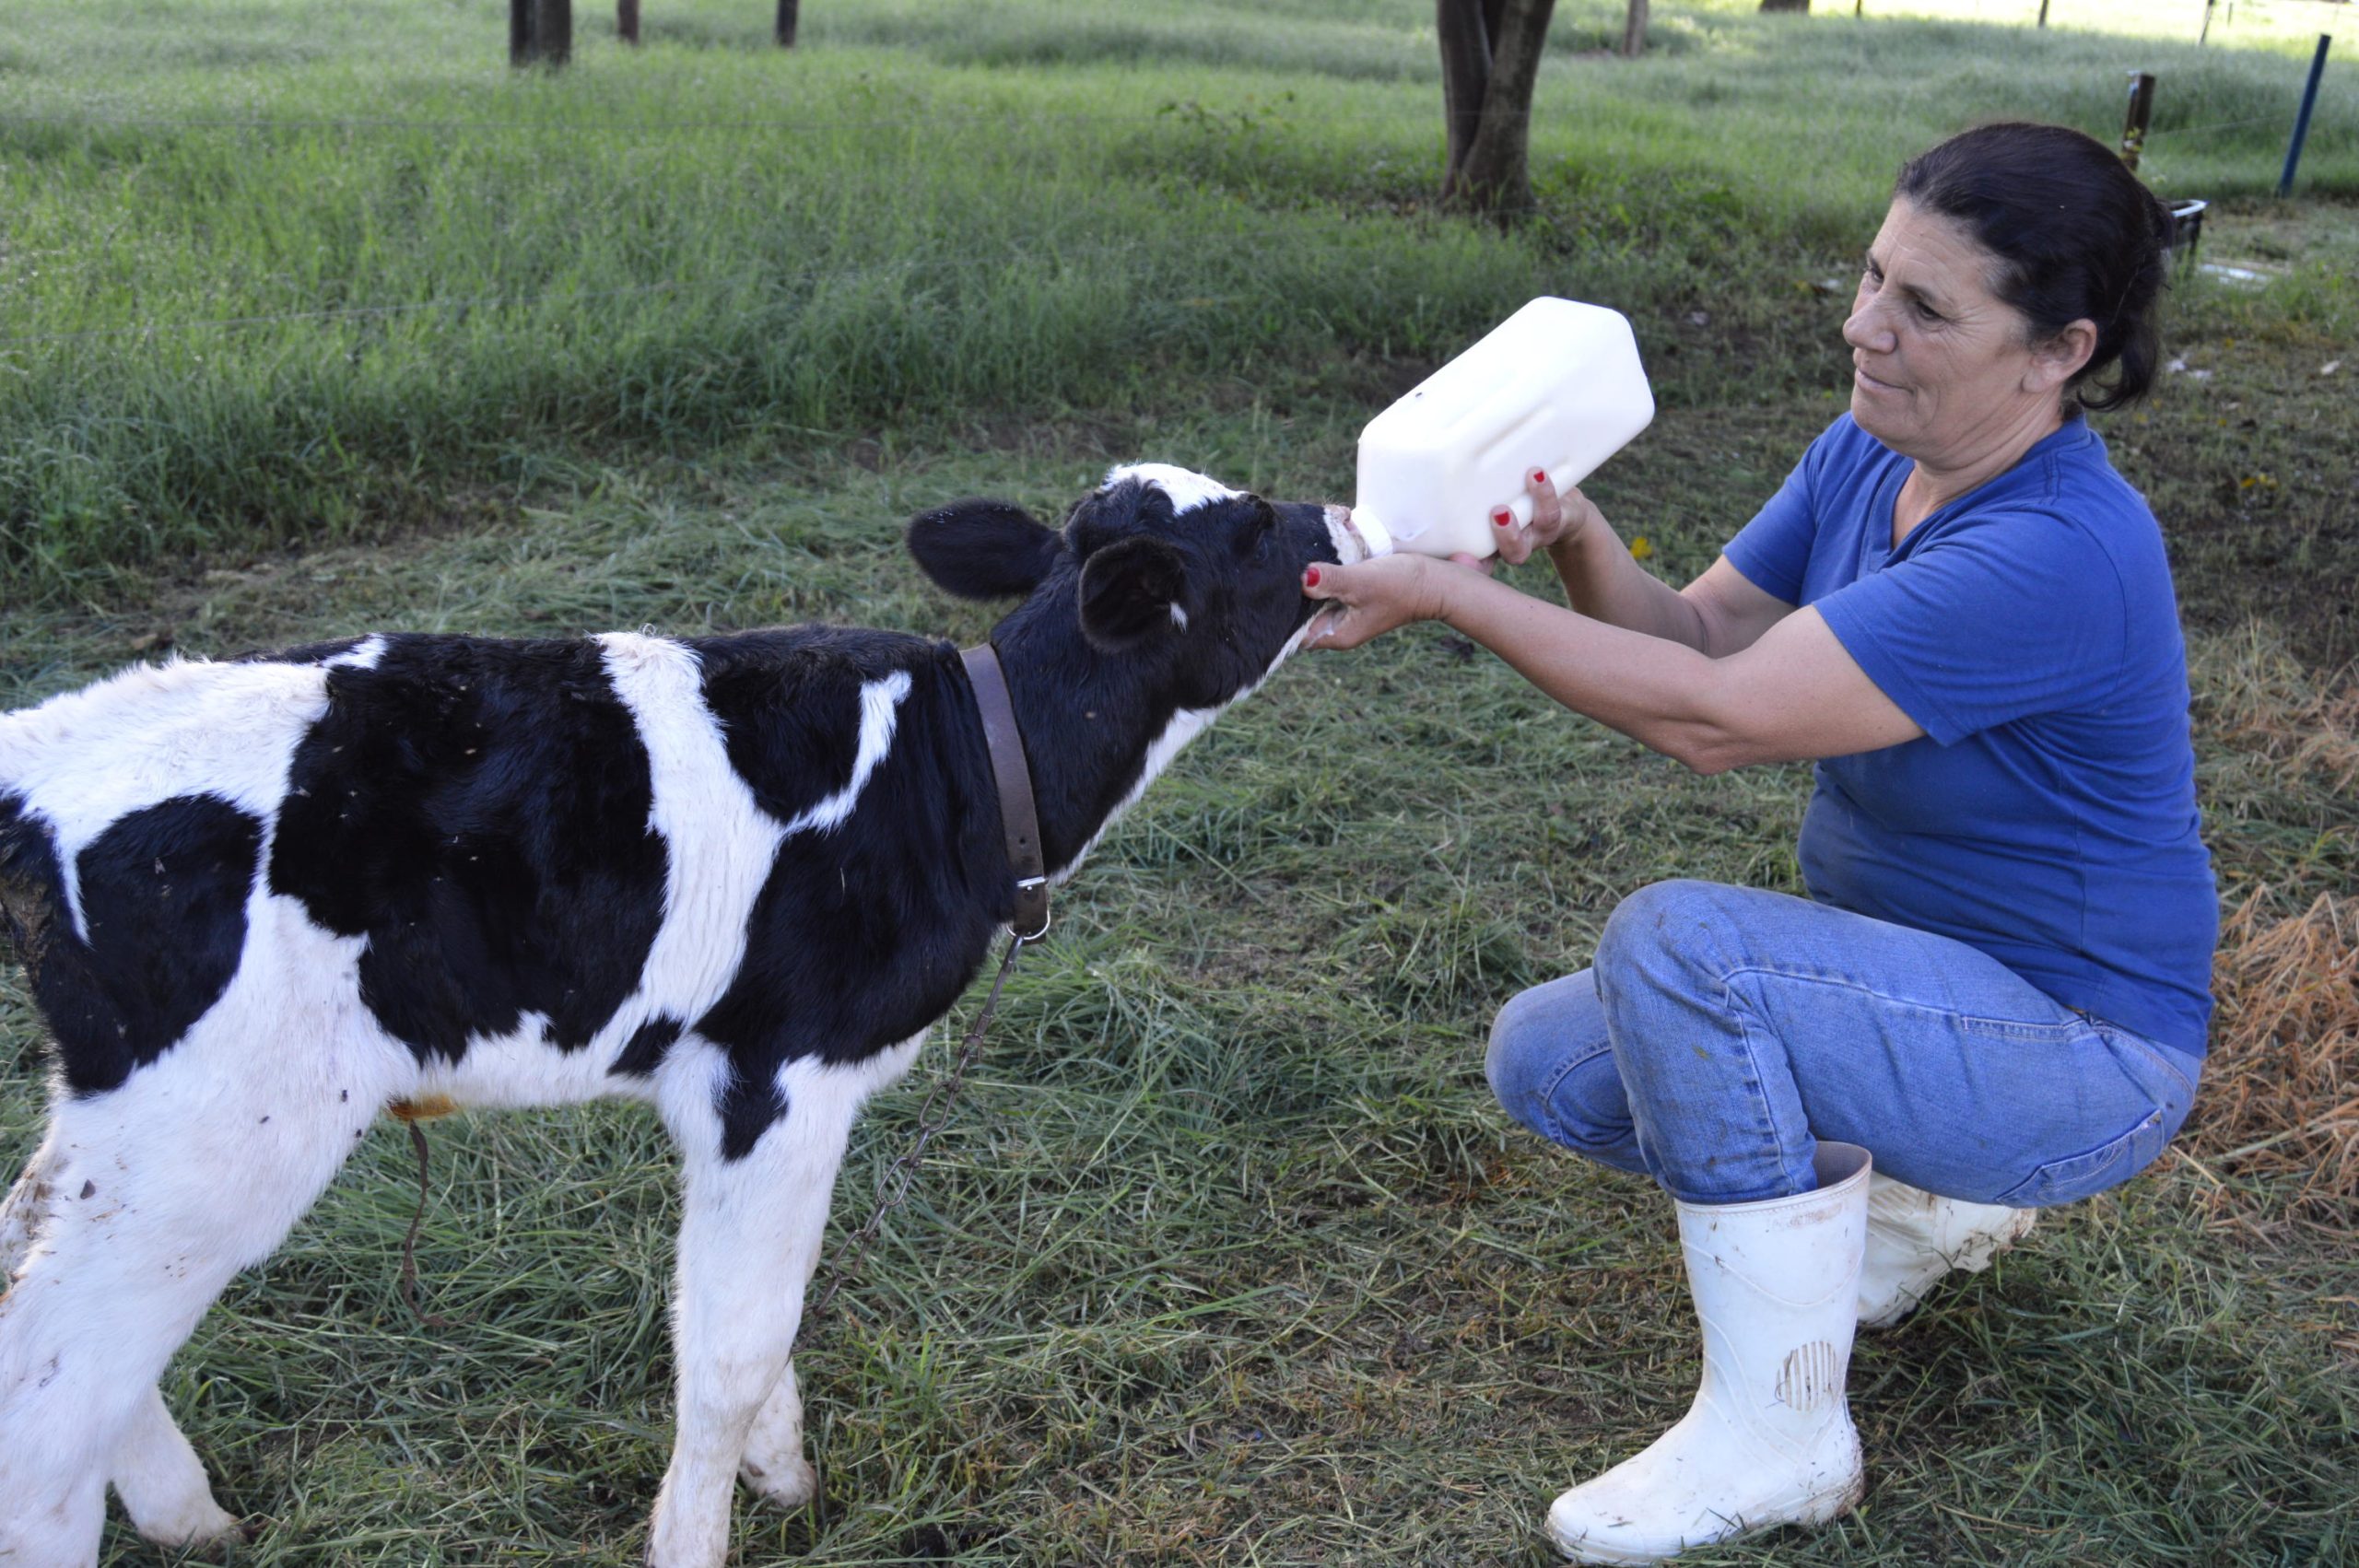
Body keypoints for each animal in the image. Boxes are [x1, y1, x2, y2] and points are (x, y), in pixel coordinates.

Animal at [0, 462, 1378, 1565]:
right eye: (1255, 528)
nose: (1342, 517)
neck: (963, 769)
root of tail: (49, 746)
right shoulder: (781, 1074)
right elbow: (730, 1342)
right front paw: (704, 1529)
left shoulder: (721, 1091)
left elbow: (749, 1322)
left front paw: (784, 1472)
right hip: (218, 1135)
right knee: (50, 1403)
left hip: (126, 1127)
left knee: (38, 1259)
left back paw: (192, 1515)